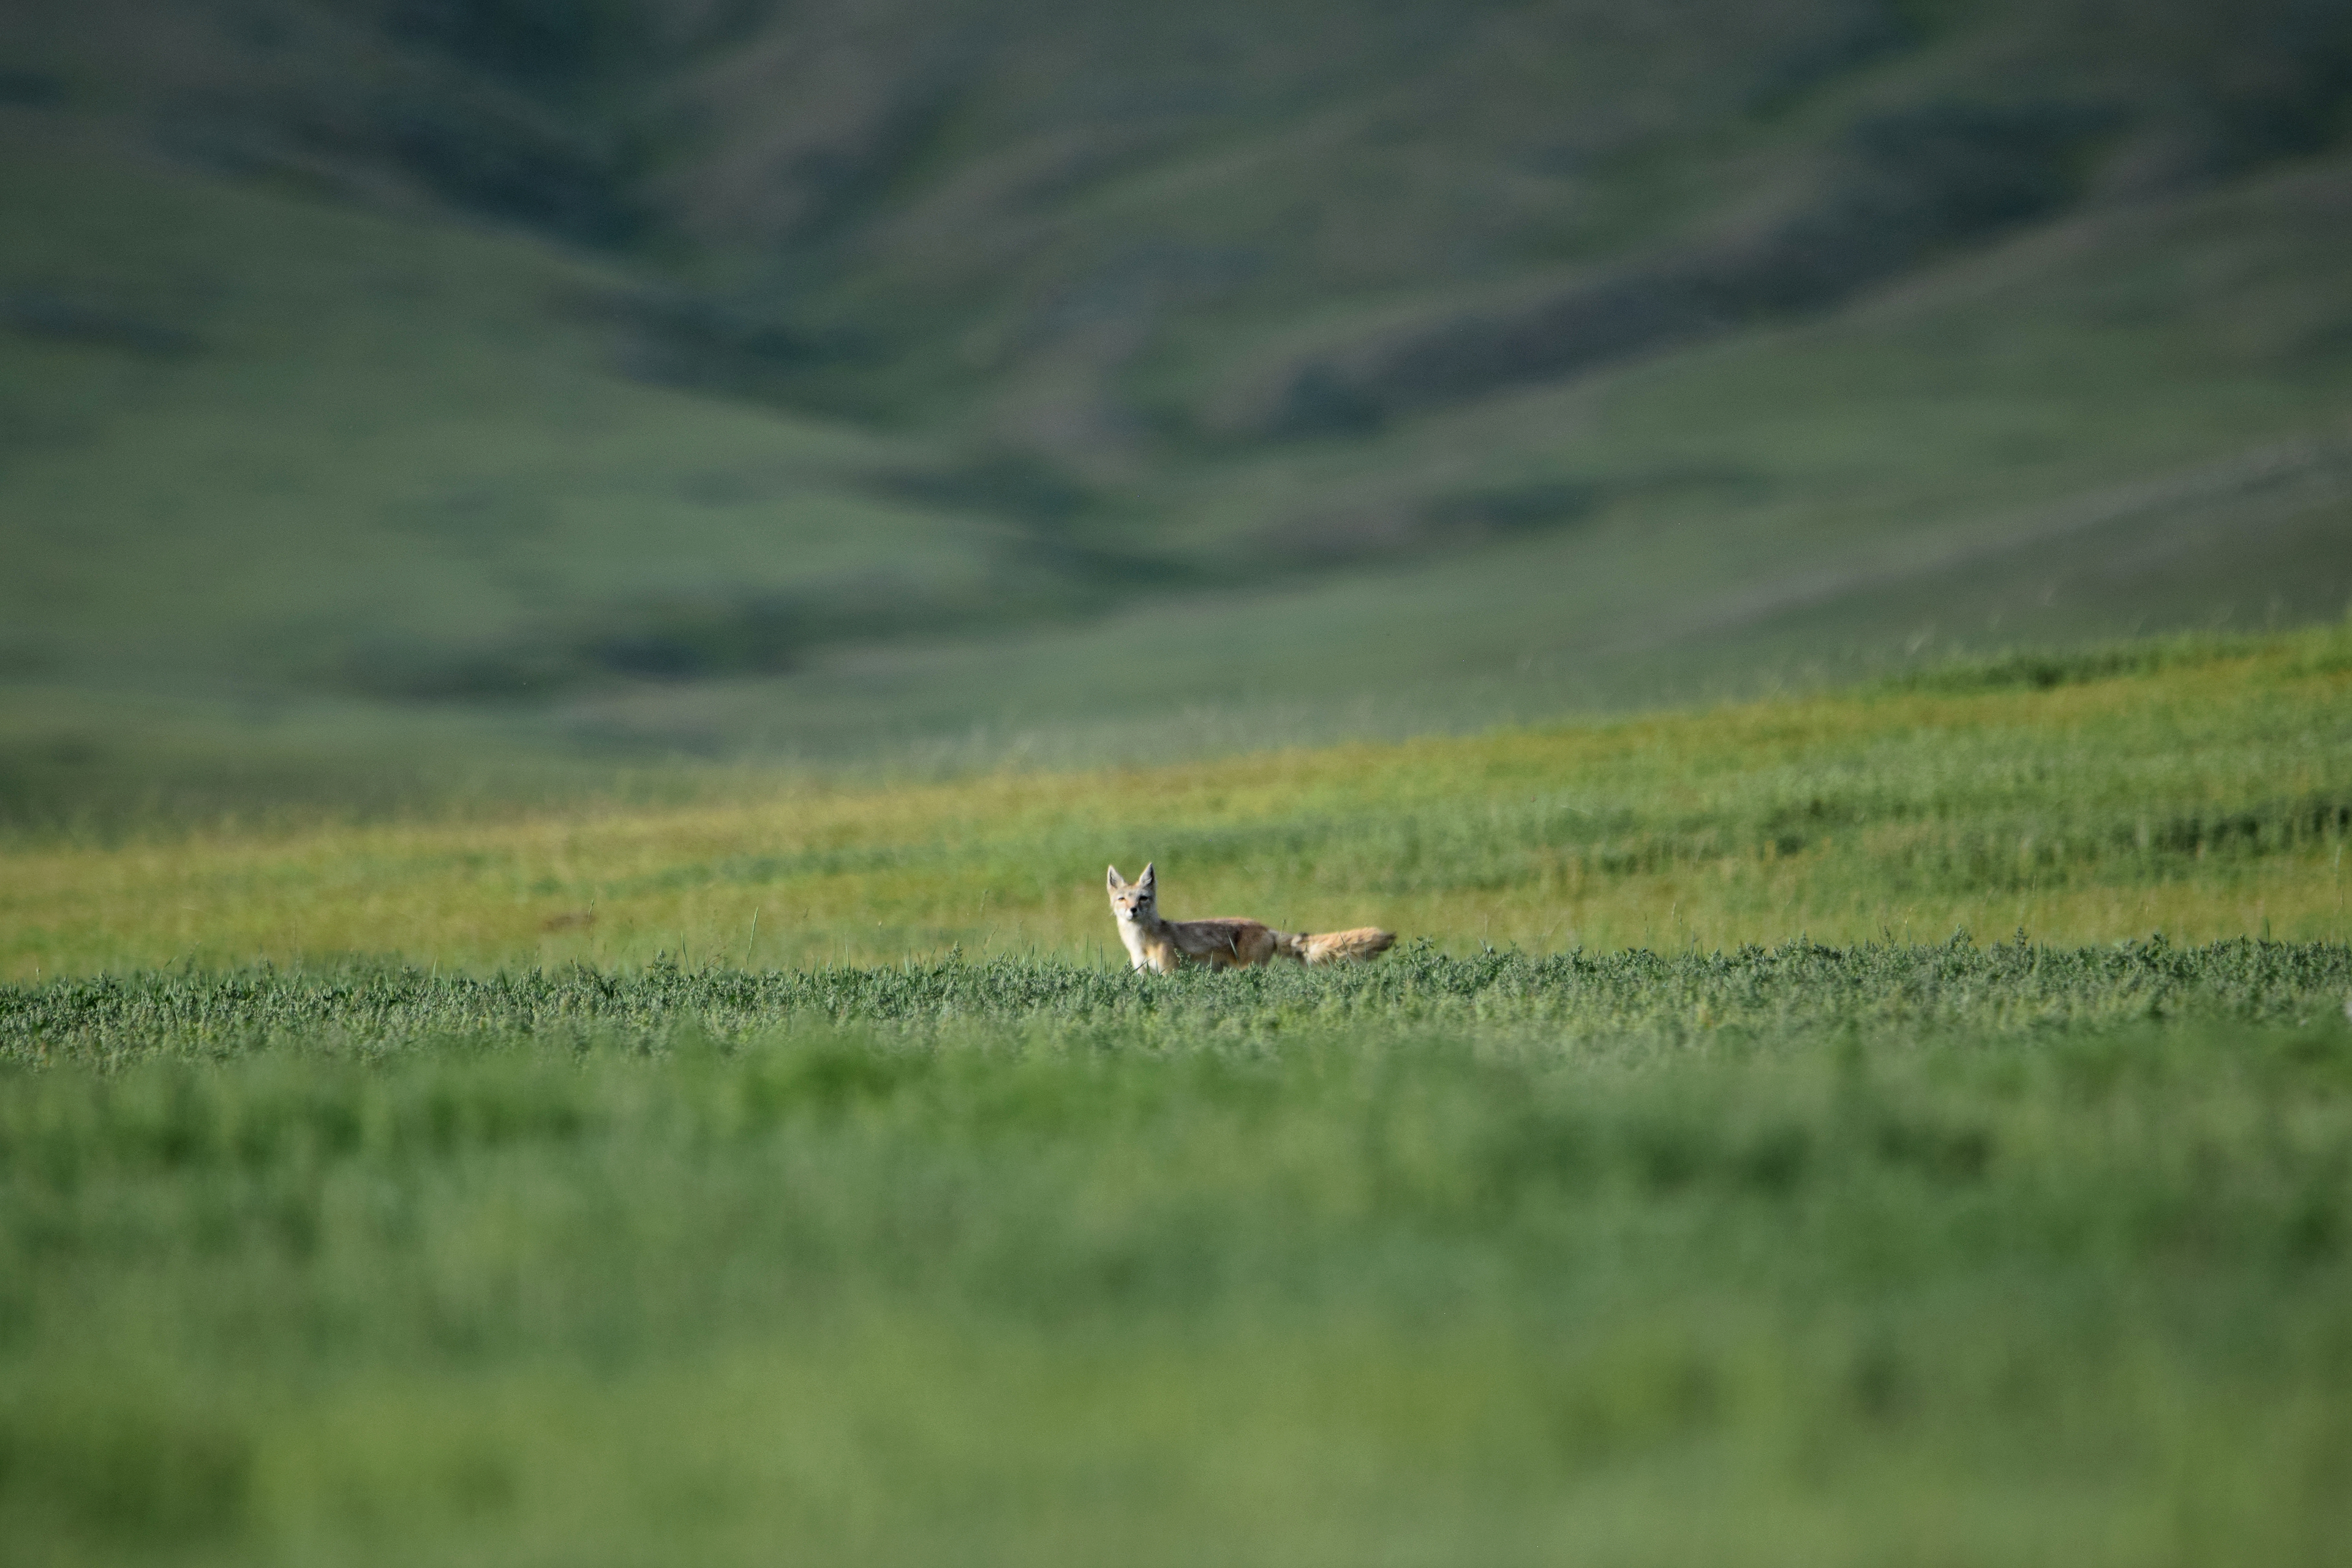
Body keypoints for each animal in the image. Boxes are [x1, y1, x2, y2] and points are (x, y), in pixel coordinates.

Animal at [1105, 862, 1395, 974]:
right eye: (1123, 899)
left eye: (1143, 898)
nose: (1133, 910)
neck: (1141, 943)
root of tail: (1266, 928)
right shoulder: (1146, 975)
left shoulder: (1171, 973)